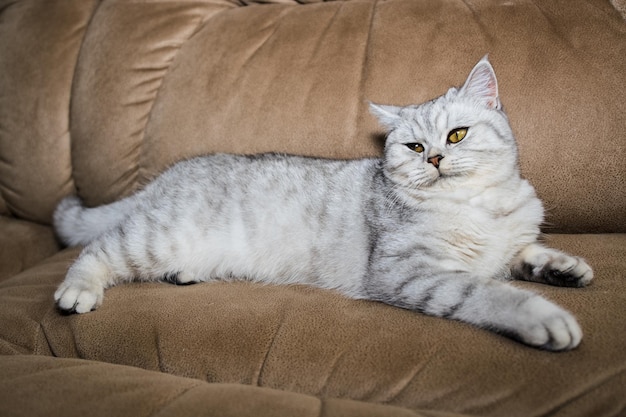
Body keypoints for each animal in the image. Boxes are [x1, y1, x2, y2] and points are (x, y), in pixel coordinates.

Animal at [52, 57, 588, 352]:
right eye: (414, 147)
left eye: (457, 135)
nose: (434, 157)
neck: (482, 207)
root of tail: (167, 175)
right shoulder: (408, 271)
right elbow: (489, 292)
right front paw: (543, 317)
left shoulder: (510, 244)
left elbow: (527, 253)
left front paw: (565, 268)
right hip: (155, 236)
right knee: (96, 250)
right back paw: (77, 291)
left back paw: (184, 275)